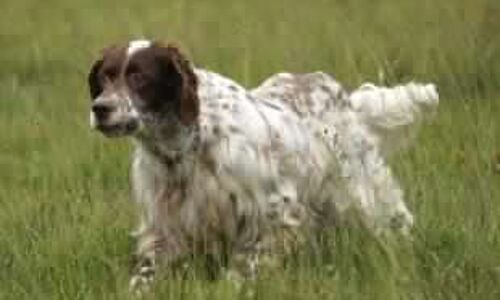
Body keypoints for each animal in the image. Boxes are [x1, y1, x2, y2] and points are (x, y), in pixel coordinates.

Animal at [88, 39, 440, 290]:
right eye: (105, 76)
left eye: (139, 76)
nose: (100, 108)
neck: (187, 143)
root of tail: (346, 99)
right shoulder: (164, 224)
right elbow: (145, 275)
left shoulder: (273, 210)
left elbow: (244, 268)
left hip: (362, 194)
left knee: (394, 223)